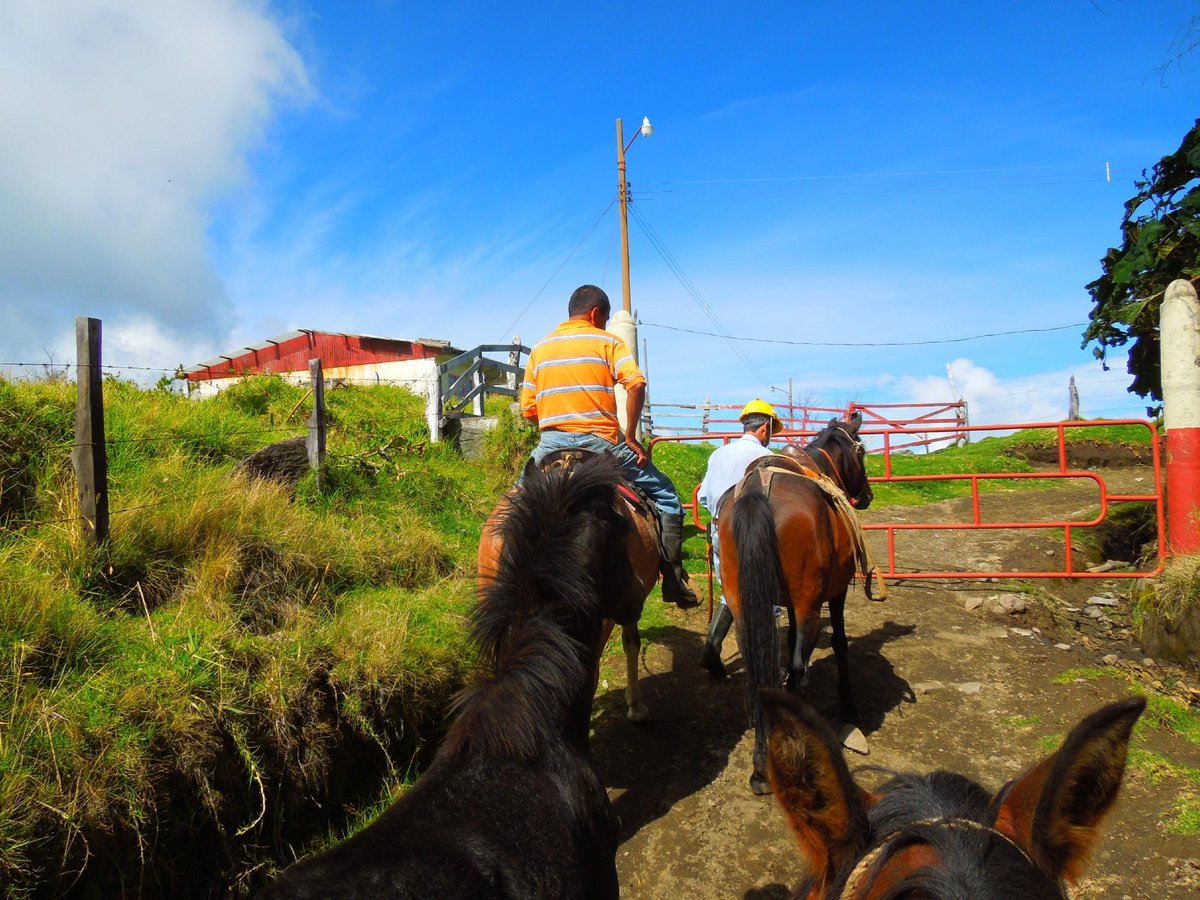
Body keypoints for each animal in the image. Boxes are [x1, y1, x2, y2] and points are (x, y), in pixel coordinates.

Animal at [715, 412, 878, 792]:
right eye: (861, 452)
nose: (866, 495)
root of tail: (758, 490)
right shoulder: (832, 594)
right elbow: (839, 643)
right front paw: (849, 704)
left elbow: (787, 645)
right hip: (808, 607)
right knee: (799, 674)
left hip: (745, 607)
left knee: (760, 676)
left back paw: (761, 767)